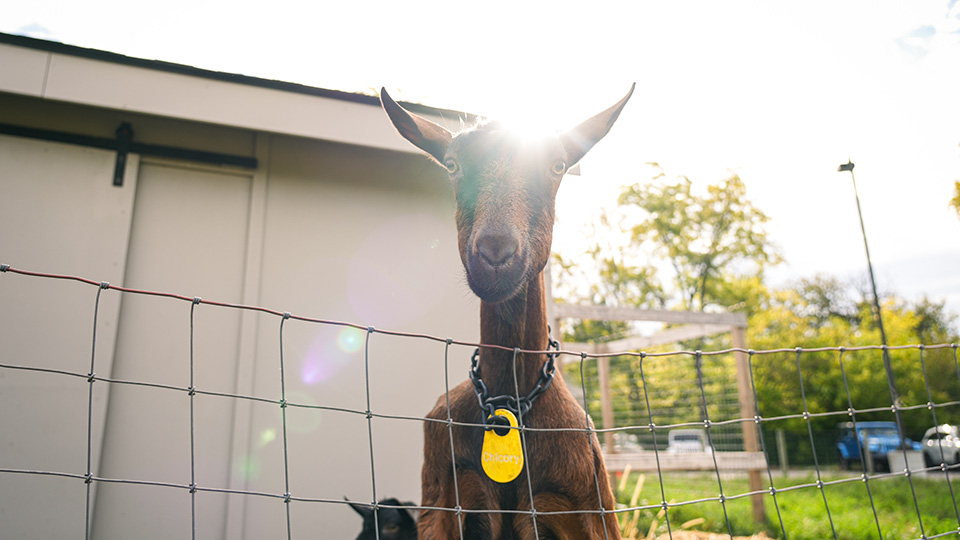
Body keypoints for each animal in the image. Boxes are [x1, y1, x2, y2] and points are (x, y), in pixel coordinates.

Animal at [381, 85, 633, 540]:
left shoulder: (587, 510)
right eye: (452, 164)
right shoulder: (441, 502)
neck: (509, 400)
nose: (495, 255)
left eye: (558, 164)